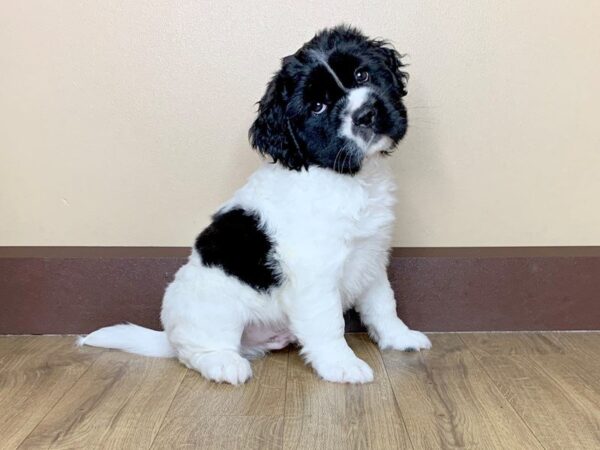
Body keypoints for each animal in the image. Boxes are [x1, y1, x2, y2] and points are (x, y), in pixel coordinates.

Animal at [83, 25, 432, 384]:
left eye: (362, 74)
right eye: (318, 107)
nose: (366, 115)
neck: (347, 179)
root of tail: (167, 335)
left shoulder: (371, 258)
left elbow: (383, 304)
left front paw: (399, 337)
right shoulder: (314, 274)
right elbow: (328, 323)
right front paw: (341, 364)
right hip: (214, 304)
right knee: (192, 351)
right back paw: (223, 363)